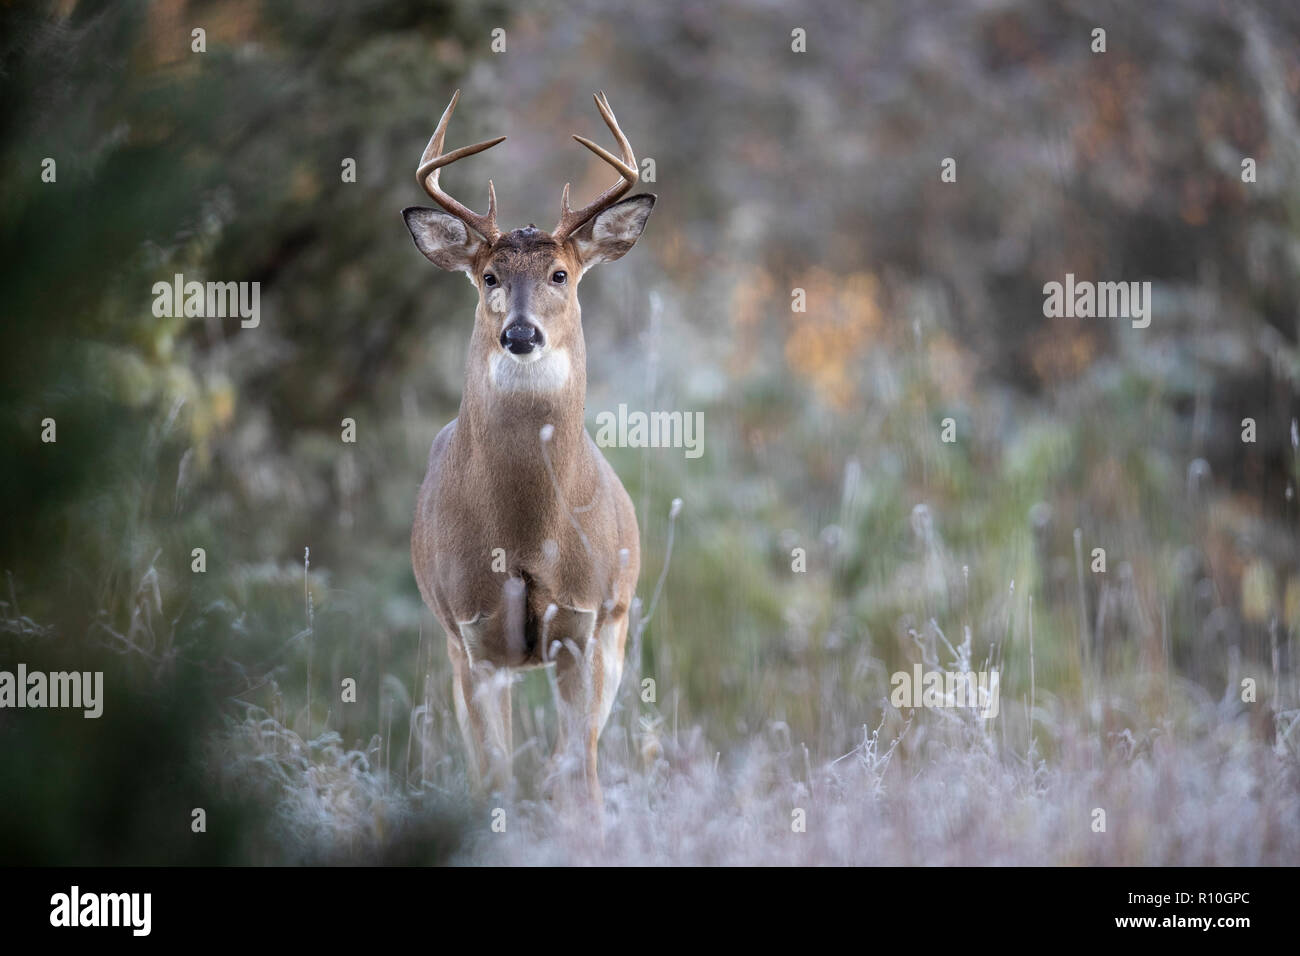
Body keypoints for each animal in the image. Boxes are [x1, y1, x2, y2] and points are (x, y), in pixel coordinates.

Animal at [403, 89, 655, 811]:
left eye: (561, 273)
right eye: (489, 275)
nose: (520, 333)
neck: (525, 535)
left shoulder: (583, 624)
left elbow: (581, 777)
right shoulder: (472, 635)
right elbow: (493, 778)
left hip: (617, 625)